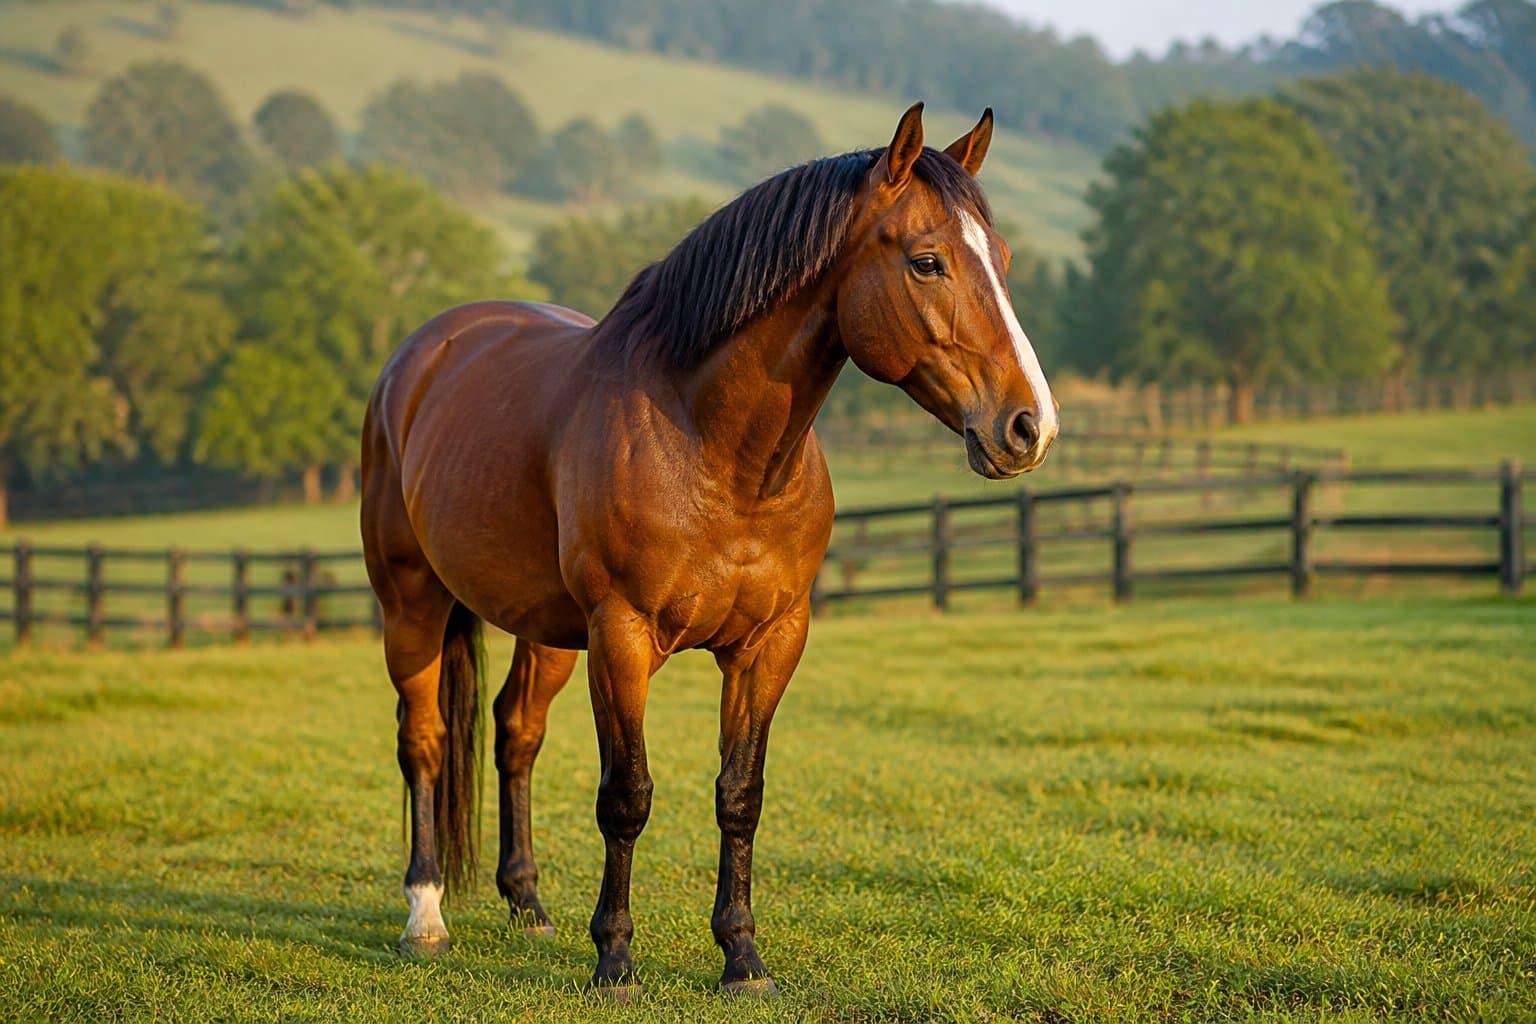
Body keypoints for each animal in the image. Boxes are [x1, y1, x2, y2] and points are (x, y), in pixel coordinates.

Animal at [360, 101, 1058, 998]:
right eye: (928, 261)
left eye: (999, 260)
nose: (1029, 425)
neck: (717, 452)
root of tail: (420, 355)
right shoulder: (621, 637)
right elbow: (627, 796)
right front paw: (615, 958)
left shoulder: (769, 644)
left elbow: (740, 794)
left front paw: (742, 956)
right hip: (410, 603)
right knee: (425, 742)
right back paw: (426, 917)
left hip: (544, 628)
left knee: (515, 732)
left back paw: (529, 905)